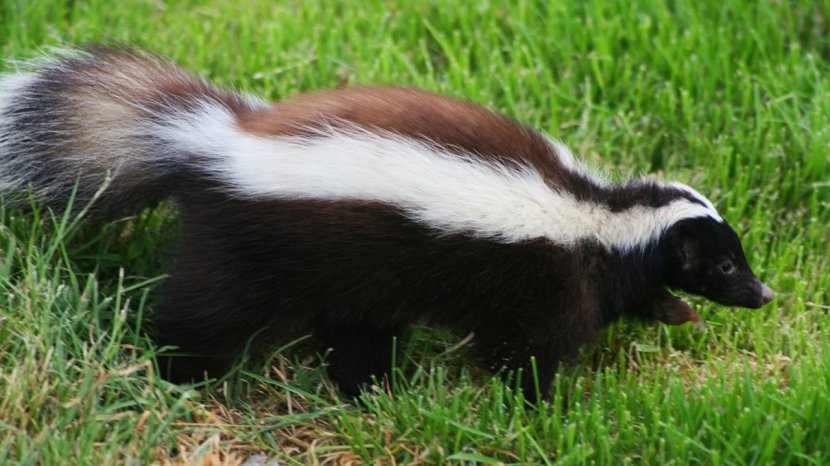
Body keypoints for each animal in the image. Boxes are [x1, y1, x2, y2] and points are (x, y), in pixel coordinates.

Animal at [1, 48, 780, 400]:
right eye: (723, 264)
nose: (764, 294)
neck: (601, 215)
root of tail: (212, 138)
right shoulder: (548, 285)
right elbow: (528, 351)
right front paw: (540, 405)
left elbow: (634, 294)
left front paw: (675, 311)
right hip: (251, 251)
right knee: (206, 314)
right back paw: (178, 375)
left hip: (348, 281)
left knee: (355, 336)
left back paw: (369, 390)